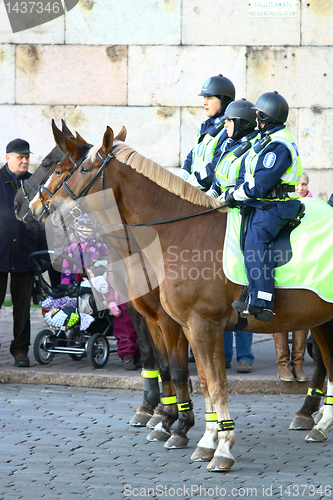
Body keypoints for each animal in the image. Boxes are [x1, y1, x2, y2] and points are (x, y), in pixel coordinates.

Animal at [28, 122, 195, 450]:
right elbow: (155, 357)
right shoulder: (143, 311)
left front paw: (174, 419)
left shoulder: (170, 317)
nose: (33, 205)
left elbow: (177, 365)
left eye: (56, 167)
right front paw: (155, 411)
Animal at [44, 126, 332, 472]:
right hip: (323, 320)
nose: (46, 206)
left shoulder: (199, 325)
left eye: (80, 169)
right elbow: (197, 378)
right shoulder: (183, 325)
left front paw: (213, 443)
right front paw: (202, 439)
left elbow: (205, 380)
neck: (180, 232)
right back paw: (319, 423)